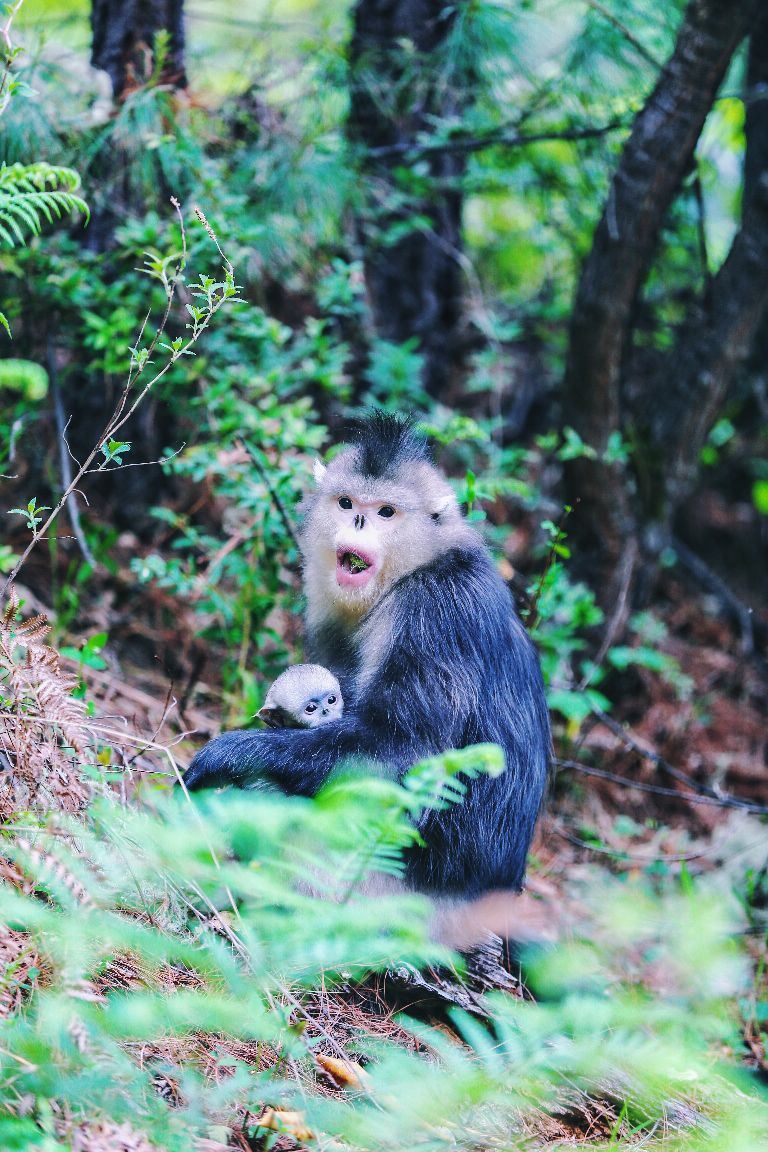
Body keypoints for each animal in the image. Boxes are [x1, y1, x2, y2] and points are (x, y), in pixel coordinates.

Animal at [184, 412, 550, 901]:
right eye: (346, 502)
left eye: (386, 512)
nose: (358, 520)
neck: (410, 570)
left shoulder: (434, 612)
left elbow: (402, 754)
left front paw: (228, 754)